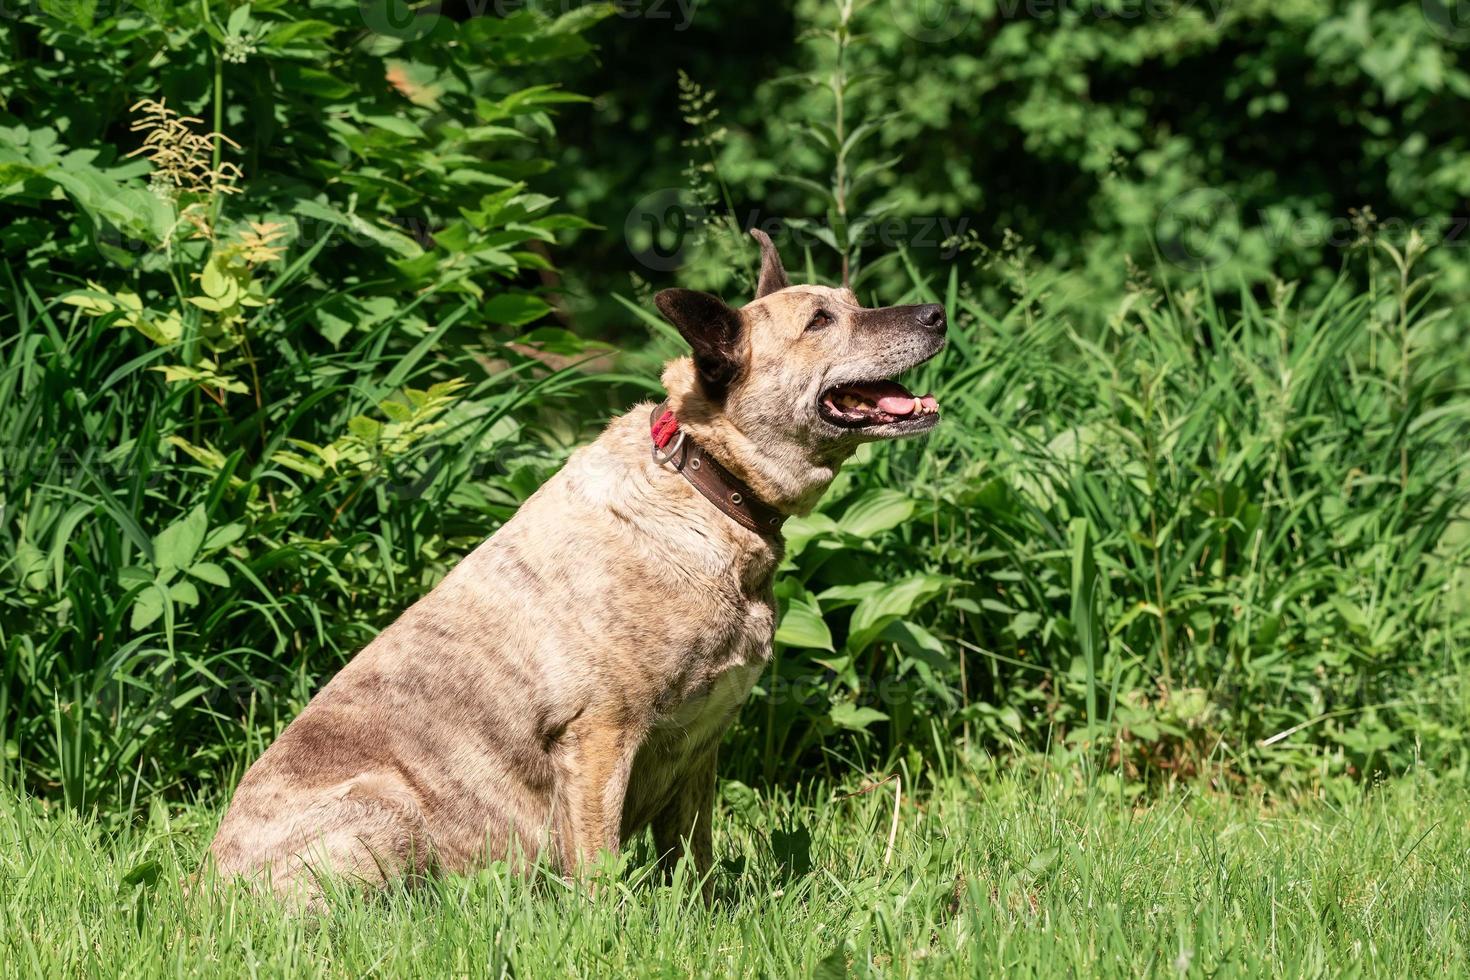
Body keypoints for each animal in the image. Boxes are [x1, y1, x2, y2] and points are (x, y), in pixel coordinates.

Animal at [204, 230, 940, 905]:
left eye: (853, 302)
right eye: (820, 322)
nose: (936, 313)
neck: (706, 483)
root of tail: (208, 893)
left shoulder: (698, 750)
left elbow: (694, 858)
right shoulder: (600, 738)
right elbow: (600, 865)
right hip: (389, 812)